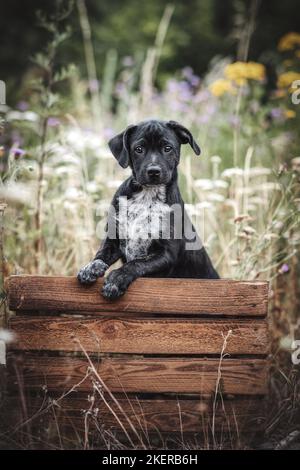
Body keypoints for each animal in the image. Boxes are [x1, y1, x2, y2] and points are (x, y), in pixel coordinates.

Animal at [77, 119, 218, 300]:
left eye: (167, 148)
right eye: (139, 149)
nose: (153, 171)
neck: (147, 195)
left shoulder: (166, 254)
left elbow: (136, 263)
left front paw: (117, 279)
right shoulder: (113, 239)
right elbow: (101, 254)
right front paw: (90, 268)